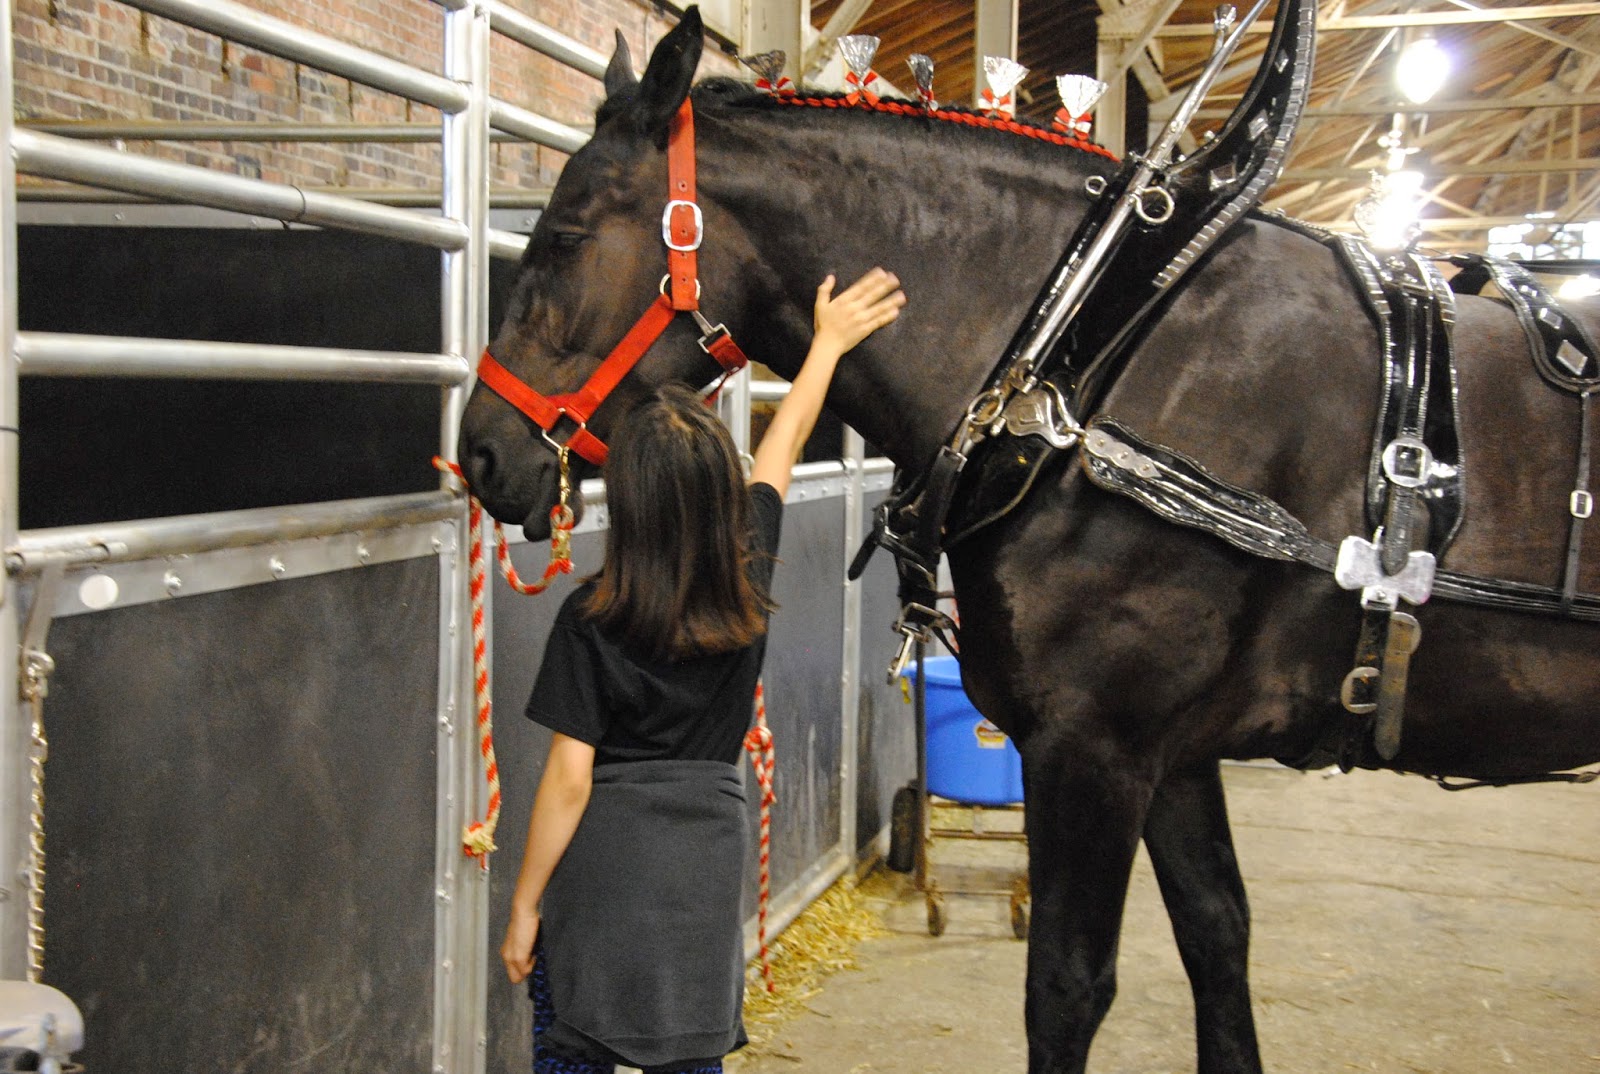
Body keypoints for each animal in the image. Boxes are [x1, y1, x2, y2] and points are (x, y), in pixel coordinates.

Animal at [457, 11, 1600, 1073]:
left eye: (562, 236)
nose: (478, 453)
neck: (1090, 358)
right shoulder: (1172, 757)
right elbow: (1216, 942)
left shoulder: (1091, 748)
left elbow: (1065, 988)